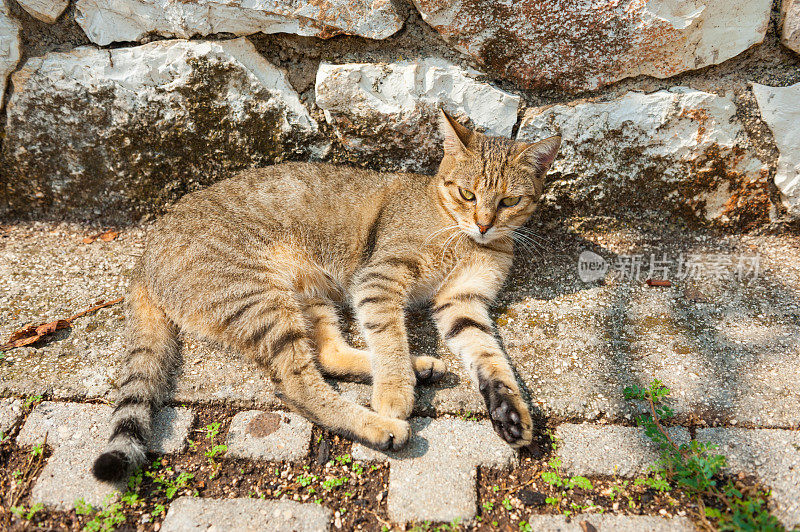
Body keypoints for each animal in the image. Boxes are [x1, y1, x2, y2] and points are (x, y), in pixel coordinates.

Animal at [92, 110, 556, 480]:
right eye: (467, 193)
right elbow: (388, 338)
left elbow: (489, 358)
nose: (484, 224)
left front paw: (510, 412)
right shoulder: (380, 278)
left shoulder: (462, 302)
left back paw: (419, 366)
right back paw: (382, 422)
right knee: (297, 384)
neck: (461, 235)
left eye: (510, 201)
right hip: (262, 300)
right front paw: (393, 394)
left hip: (307, 296)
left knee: (328, 355)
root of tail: (144, 257)